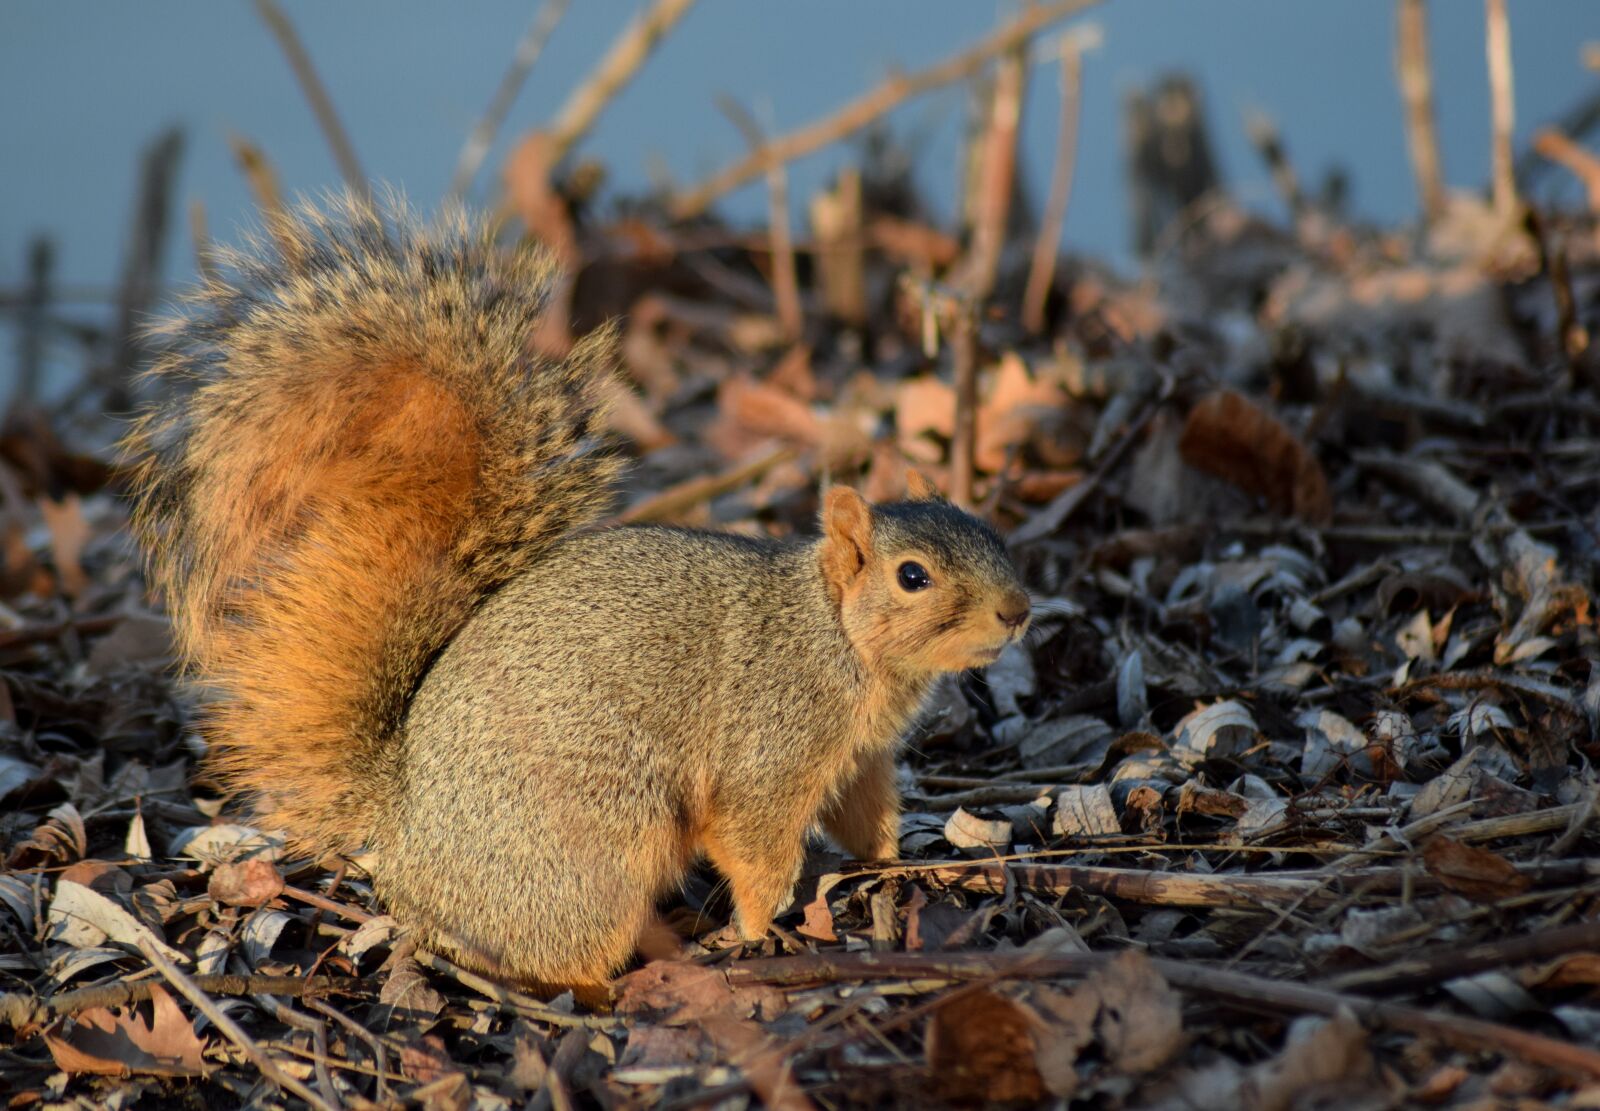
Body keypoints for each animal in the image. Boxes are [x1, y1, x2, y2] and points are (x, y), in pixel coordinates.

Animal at [125, 196, 1032, 1000]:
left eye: (988, 527)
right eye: (912, 575)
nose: (1019, 611)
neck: (838, 640)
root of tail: (403, 824)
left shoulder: (858, 758)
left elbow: (866, 816)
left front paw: (899, 862)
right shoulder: (770, 747)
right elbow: (753, 841)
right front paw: (756, 927)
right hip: (594, 849)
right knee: (559, 953)